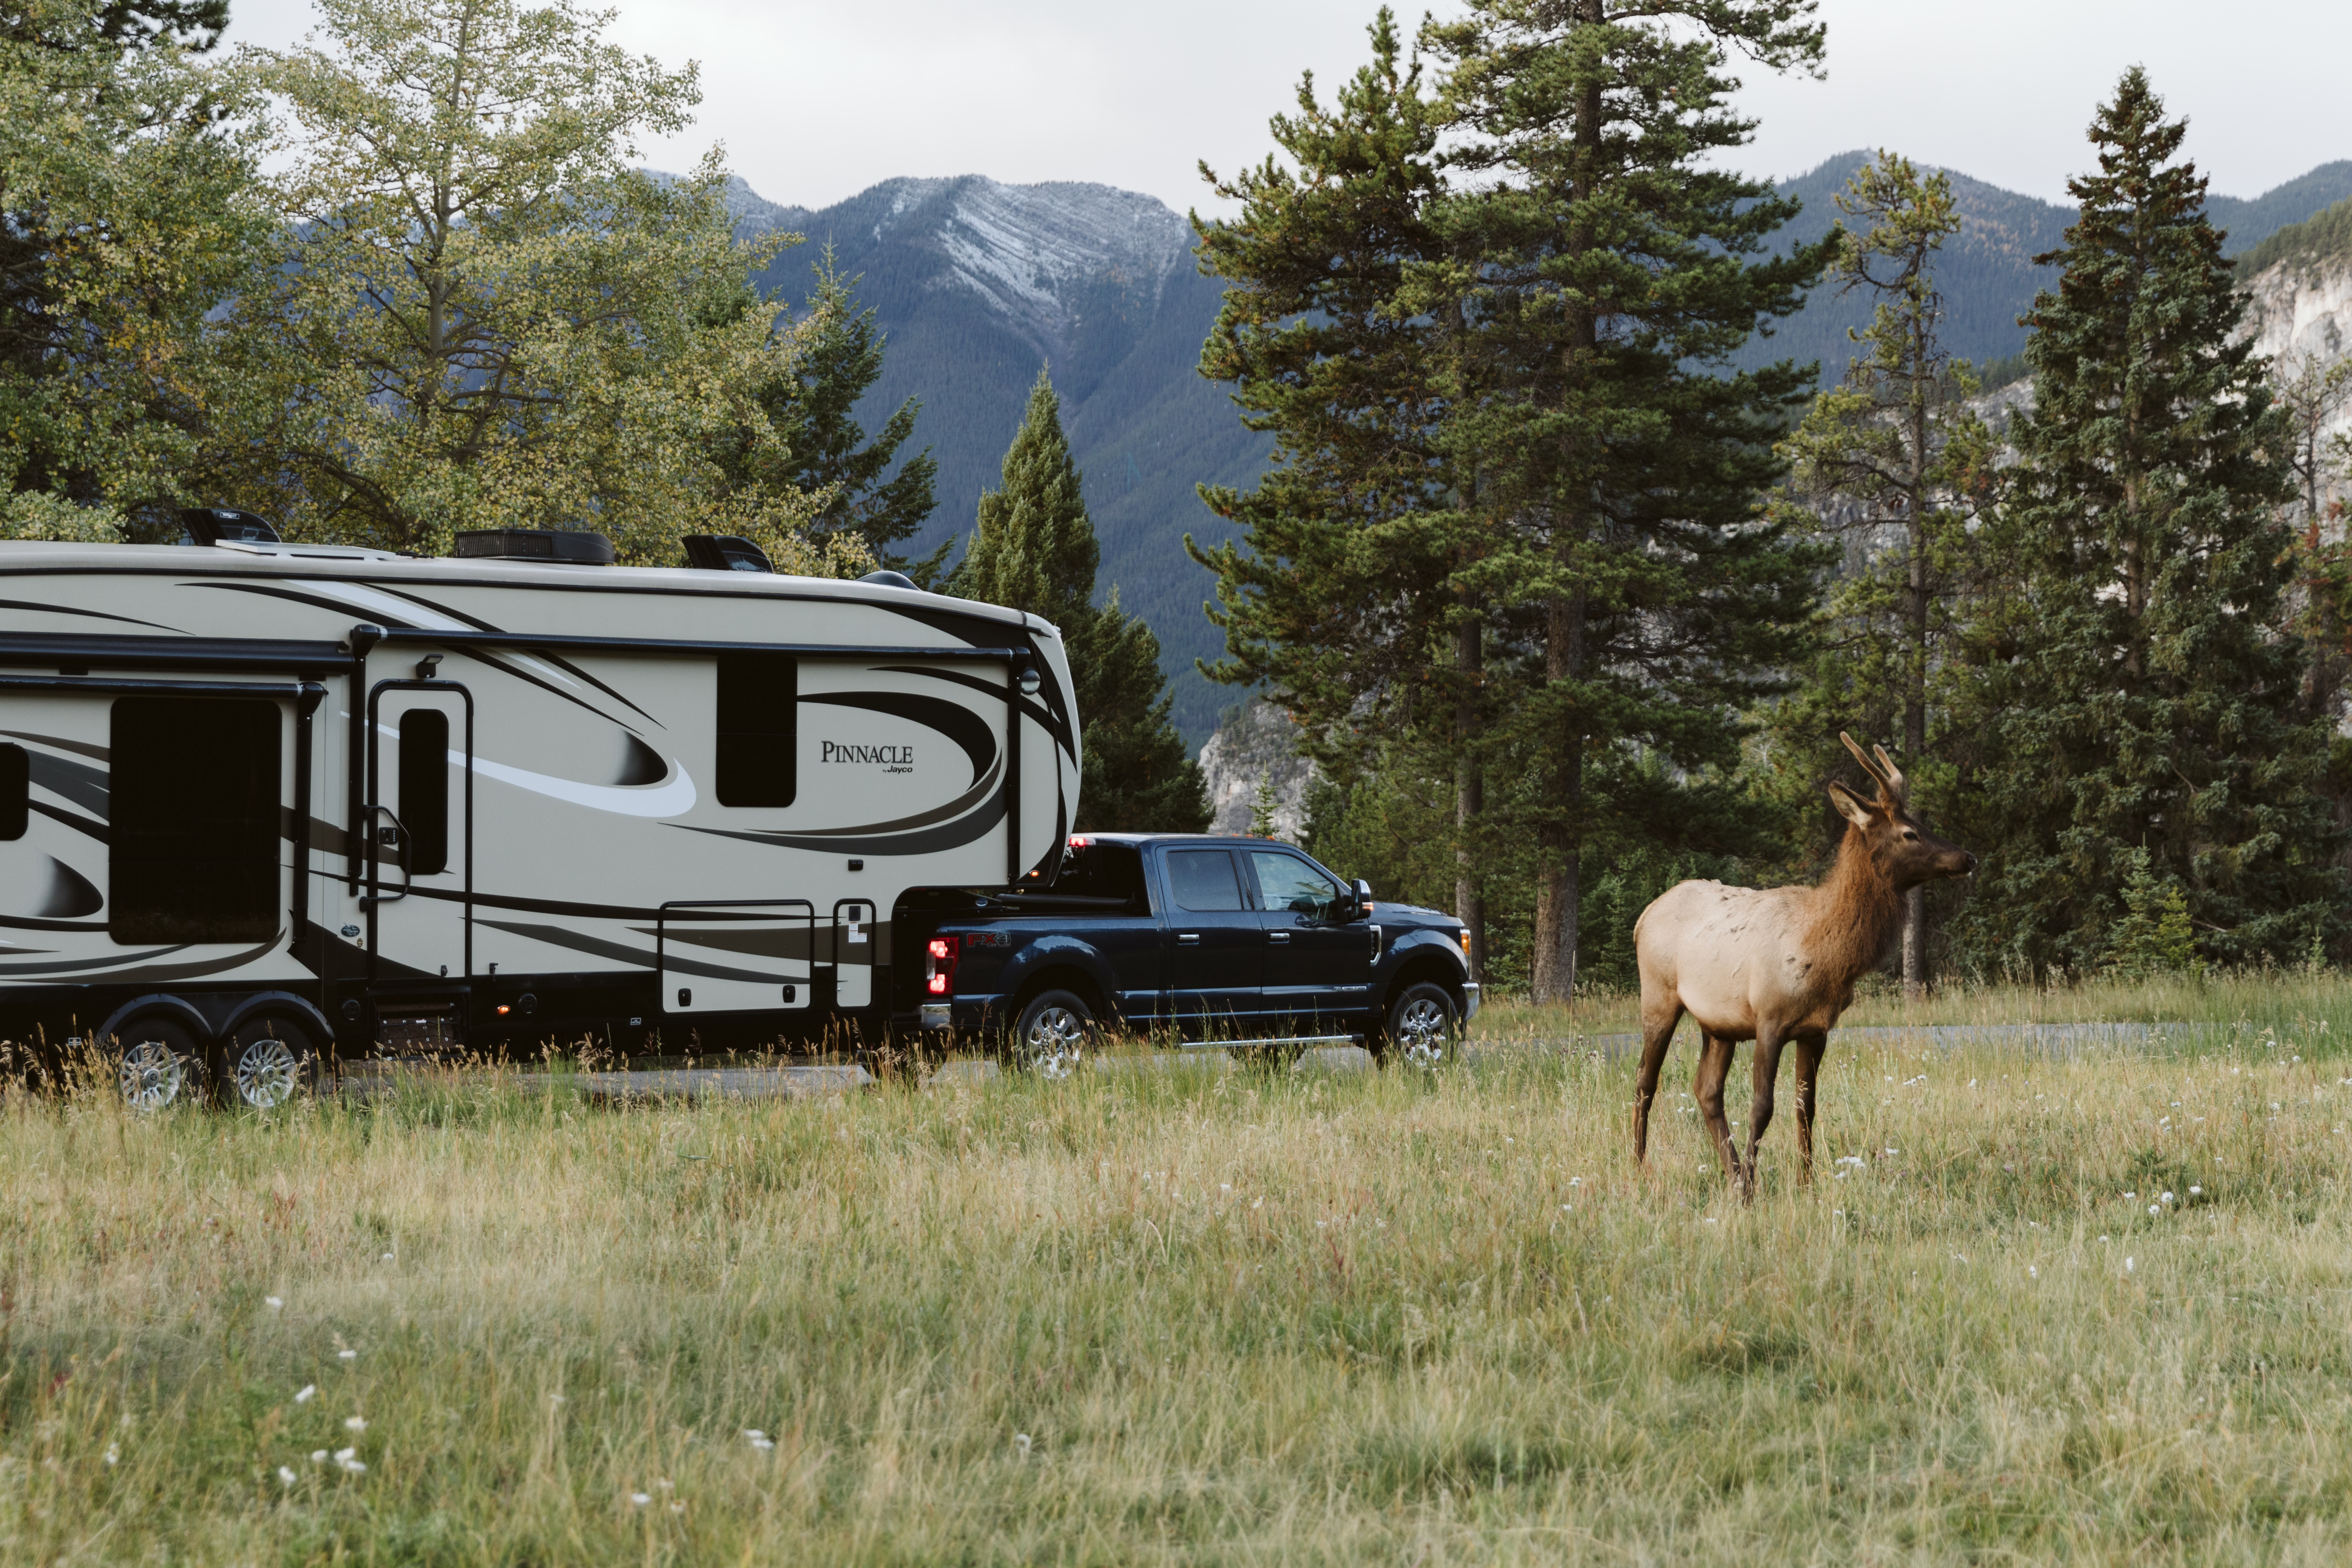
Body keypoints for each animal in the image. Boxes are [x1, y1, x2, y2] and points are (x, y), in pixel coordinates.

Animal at [1631, 734, 1975, 1196]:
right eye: (1910, 833)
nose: (1968, 857)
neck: (1828, 955)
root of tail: (1643, 917)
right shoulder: (1769, 1019)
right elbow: (1763, 1106)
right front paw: (1753, 1191)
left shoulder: (1816, 1029)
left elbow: (1805, 1108)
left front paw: (1805, 1183)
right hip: (1659, 996)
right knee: (1645, 1082)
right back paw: (1640, 1169)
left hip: (1718, 1024)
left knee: (1706, 1090)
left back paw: (1730, 1173)